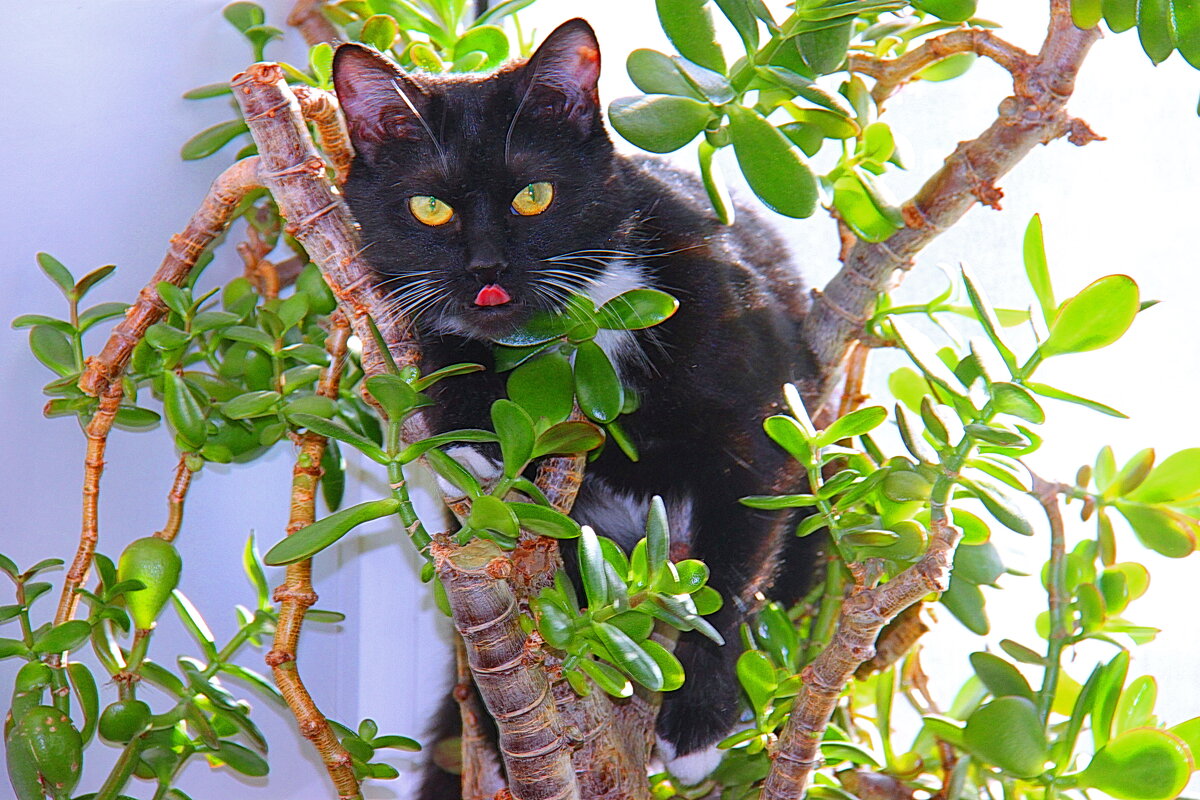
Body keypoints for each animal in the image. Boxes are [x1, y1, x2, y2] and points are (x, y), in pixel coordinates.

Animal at [333, 17, 820, 786]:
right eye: (429, 207)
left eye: (534, 195)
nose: (487, 268)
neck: (575, 326)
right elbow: (446, 341)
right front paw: (475, 427)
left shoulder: (759, 416)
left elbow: (732, 562)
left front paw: (700, 716)